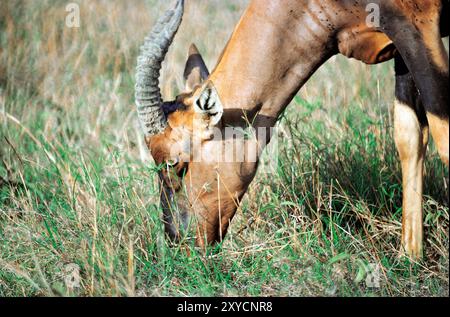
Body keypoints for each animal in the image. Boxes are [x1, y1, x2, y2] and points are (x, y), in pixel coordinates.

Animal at [134, 0, 450, 258]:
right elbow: (410, 138)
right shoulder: (399, 44)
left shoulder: (416, 24)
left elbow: (443, 137)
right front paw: (409, 258)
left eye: (176, 163)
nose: (179, 244)